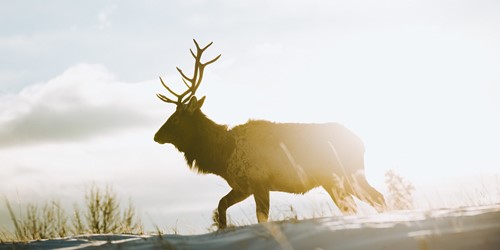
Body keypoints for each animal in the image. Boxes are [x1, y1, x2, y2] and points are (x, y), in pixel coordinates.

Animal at [154, 39, 384, 229]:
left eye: (175, 119)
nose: (156, 136)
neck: (224, 155)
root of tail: (361, 142)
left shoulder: (259, 181)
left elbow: (261, 218)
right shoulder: (243, 186)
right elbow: (221, 206)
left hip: (347, 175)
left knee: (378, 198)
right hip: (334, 181)